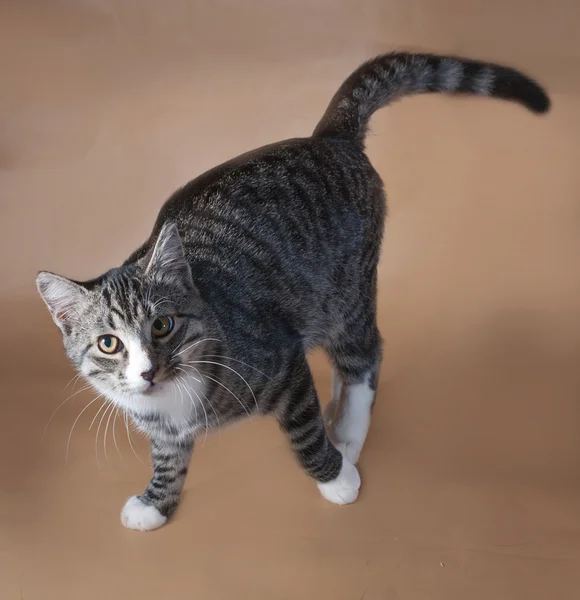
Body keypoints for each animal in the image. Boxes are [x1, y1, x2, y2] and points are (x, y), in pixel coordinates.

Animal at [36, 52, 548, 528]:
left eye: (162, 325)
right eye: (109, 343)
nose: (147, 371)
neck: (174, 396)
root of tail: (327, 139)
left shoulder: (284, 362)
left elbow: (304, 431)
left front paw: (335, 477)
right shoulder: (162, 429)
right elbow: (168, 457)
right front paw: (156, 503)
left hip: (345, 289)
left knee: (364, 355)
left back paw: (348, 432)